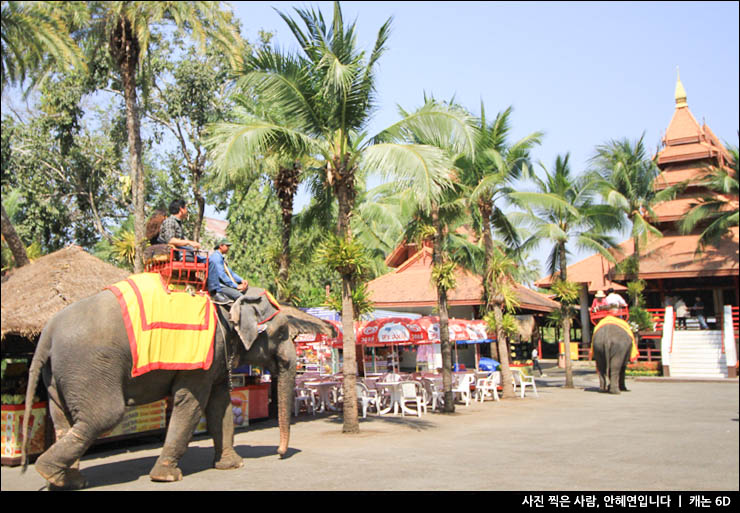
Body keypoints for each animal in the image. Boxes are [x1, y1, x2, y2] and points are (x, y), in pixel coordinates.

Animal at [20, 284, 334, 488]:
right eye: (281, 333)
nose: (280, 454)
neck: (227, 304)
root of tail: (46, 332)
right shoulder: (202, 360)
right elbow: (193, 402)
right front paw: (167, 477)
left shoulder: (218, 356)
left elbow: (220, 405)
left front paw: (232, 465)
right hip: (89, 367)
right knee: (103, 416)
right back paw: (49, 471)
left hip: (59, 375)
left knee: (62, 419)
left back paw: (67, 480)